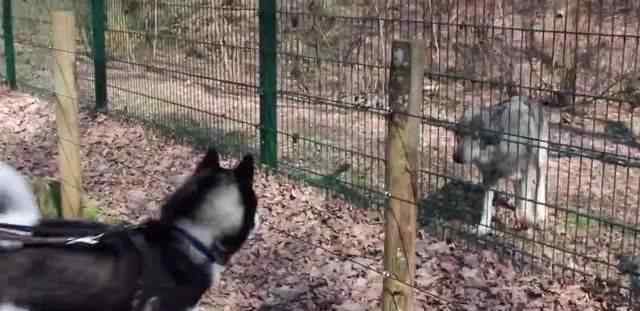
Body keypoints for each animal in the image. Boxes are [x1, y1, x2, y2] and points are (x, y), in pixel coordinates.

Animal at [450, 96, 552, 235]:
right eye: (459, 135)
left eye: (476, 137)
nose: (456, 158)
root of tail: (527, 97)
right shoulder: (489, 178)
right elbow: (486, 205)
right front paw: (483, 228)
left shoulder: (525, 171)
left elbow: (527, 207)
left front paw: (531, 221)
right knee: (519, 190)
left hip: (539, 160)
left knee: (539, 184)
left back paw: (540, 214)